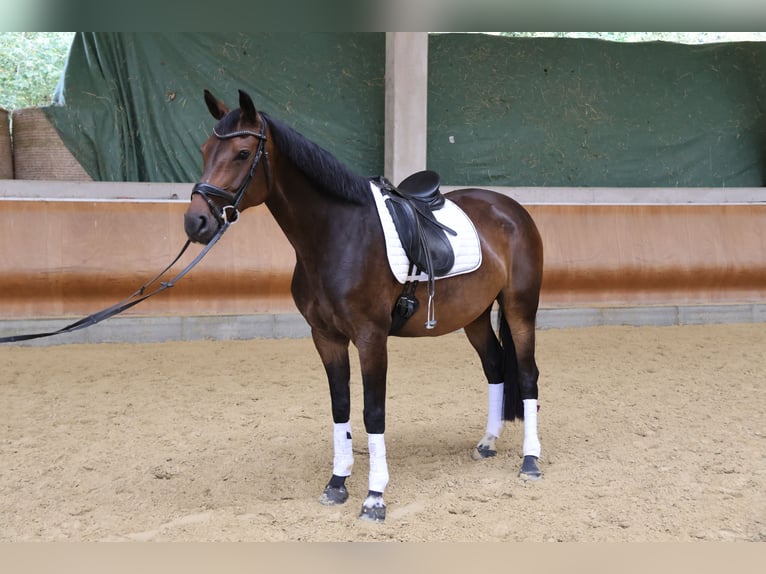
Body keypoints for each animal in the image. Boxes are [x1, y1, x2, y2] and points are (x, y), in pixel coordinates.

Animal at [184, 89, 544, 520]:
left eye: (241, 153)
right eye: (205, 150)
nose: (195, 222)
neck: (338, 235)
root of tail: (512, 209)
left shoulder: (371, 338)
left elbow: (374, 412)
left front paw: (375, 496)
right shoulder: (326, 338)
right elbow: (341, 406)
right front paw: (337, 483)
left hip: (520, 309)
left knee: (527, 375)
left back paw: (531, 461)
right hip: (473, 316)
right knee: (494, 367)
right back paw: (488, 442)